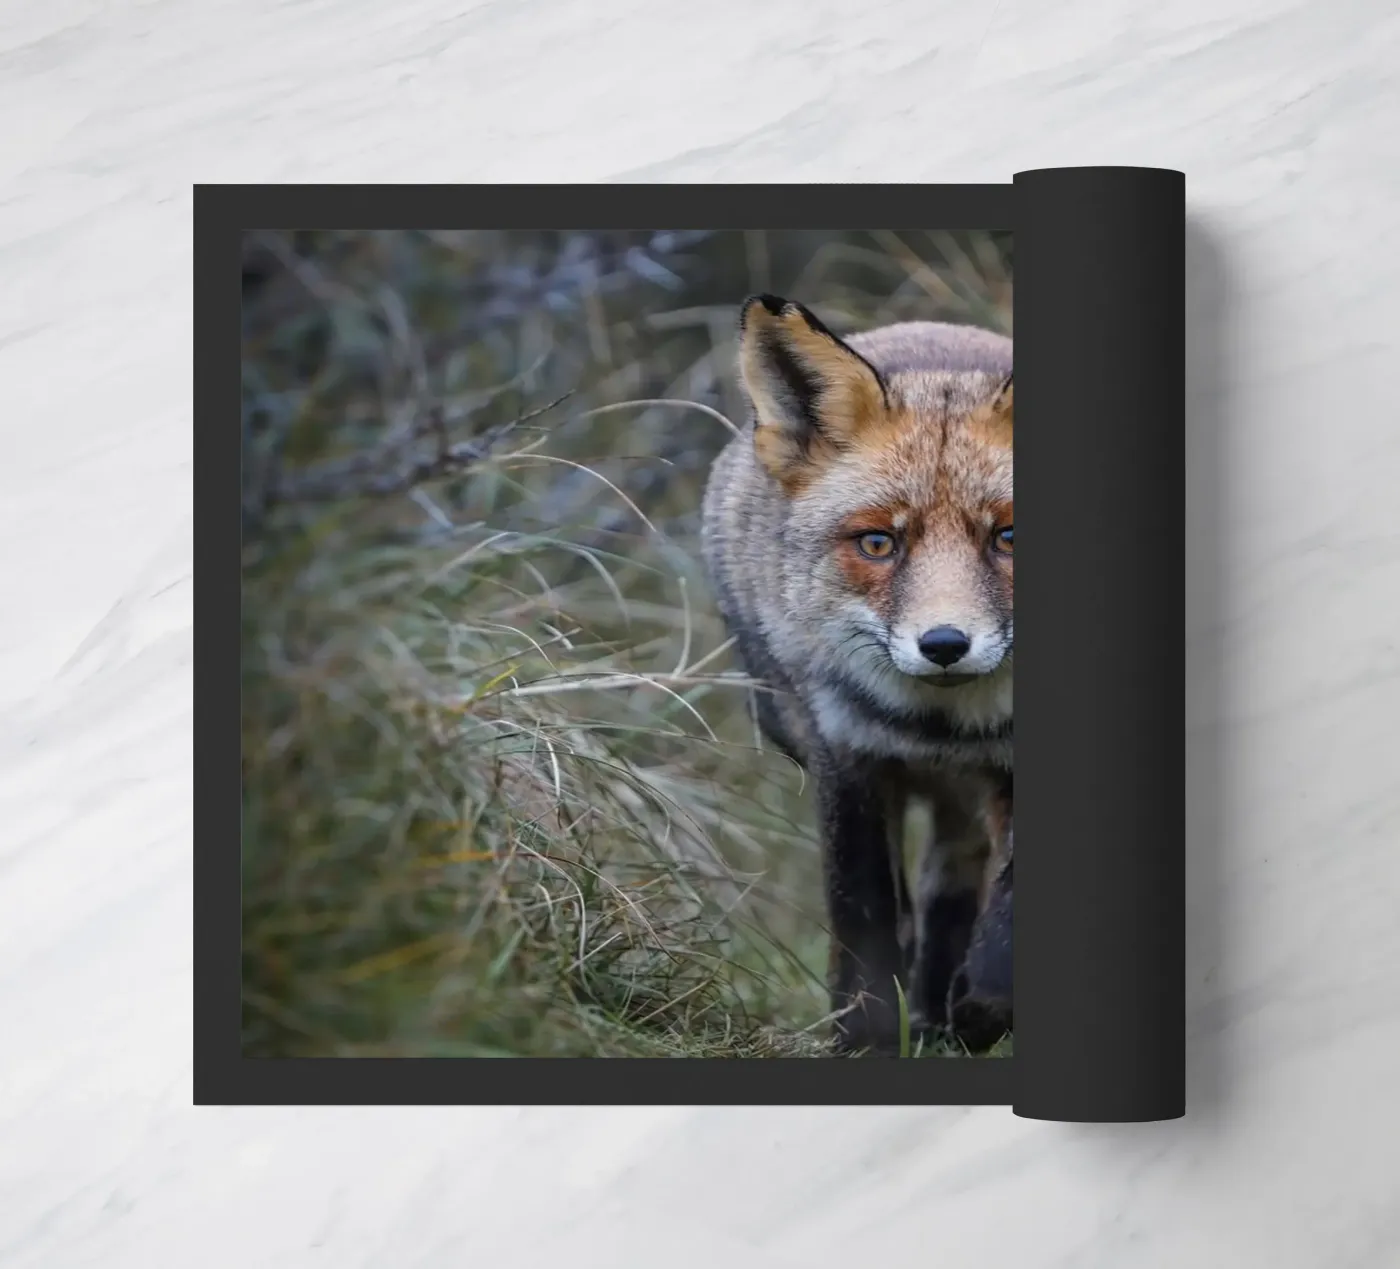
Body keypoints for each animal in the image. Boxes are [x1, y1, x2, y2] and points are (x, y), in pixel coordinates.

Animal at [700, 293, 1014, 1054]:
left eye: (1008, 537)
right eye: (878, 543)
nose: (944, 644)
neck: (945, 727)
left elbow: (1006, 932)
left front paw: (979, 1009)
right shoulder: (848, 756)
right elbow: (864, 914)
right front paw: (866, 1036)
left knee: (948, 886)